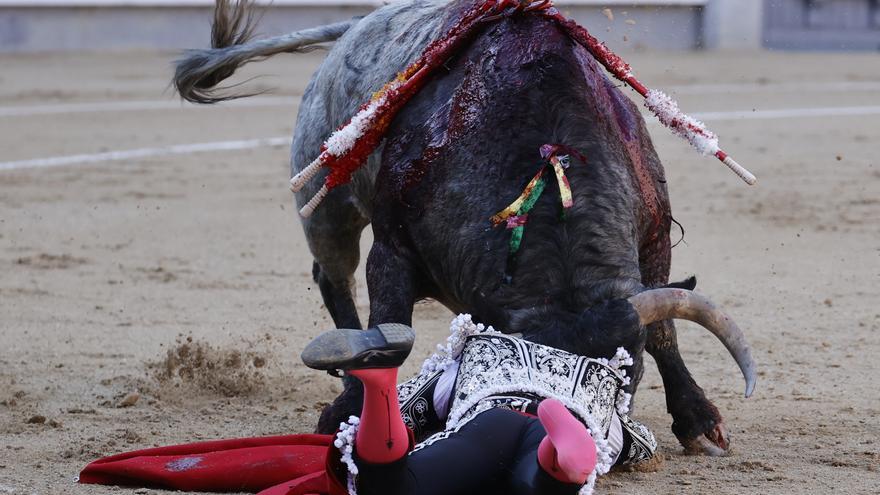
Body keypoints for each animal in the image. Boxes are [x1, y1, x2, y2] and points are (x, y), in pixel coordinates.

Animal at [174, 0, 756, 458]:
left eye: (622, 377)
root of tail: (360, 25)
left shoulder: (655, 239)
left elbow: (663, 331)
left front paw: (700, 422)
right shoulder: (392, 249)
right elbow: (387, 330)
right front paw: (354, 413)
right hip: (324, 202)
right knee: (331, 276)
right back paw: (345, 384)